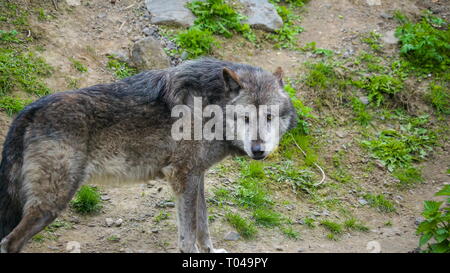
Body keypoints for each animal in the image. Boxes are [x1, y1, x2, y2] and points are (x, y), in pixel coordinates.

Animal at [0, 58, 298, 253]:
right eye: (245, 117)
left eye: (269, 117)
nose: (258, 150)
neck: (211, 106)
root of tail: (29, 110)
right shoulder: (182, 176)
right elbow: (188, 235)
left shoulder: (196, 177)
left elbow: (203, 227)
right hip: (52, 202)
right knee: (9, 242)